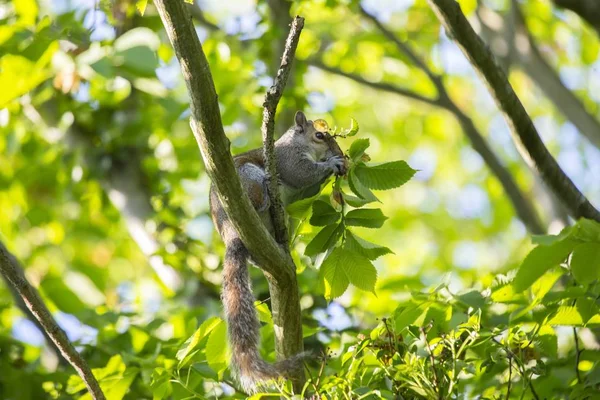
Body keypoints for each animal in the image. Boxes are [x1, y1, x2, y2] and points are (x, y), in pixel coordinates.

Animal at [209, 111, 346, 392]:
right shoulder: (286, 159)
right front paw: (332, 164)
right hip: (247, 178)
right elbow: (302, 174)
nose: (339, 152)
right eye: (319, 135)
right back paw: (266, 193)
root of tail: (231, 233)